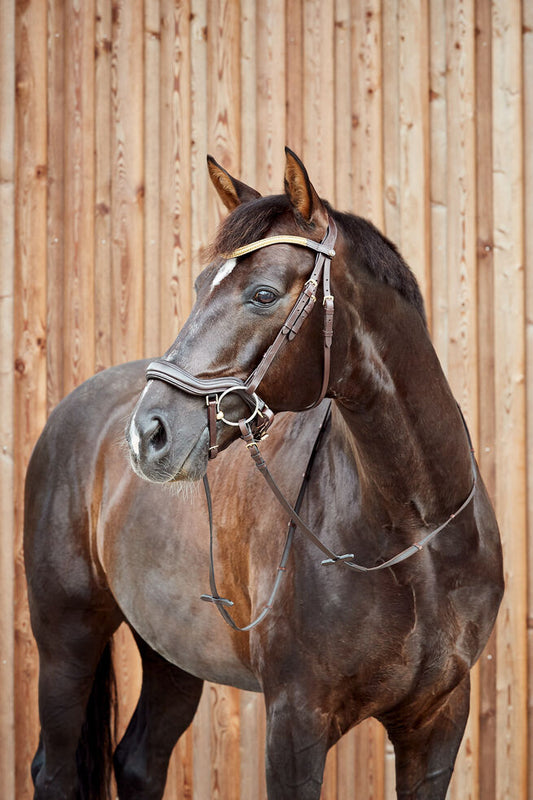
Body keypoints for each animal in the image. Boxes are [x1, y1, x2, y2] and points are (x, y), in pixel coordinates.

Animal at [25, 147, 502, 796]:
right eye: (199, 285)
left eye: (263, 293)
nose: (149, 434)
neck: (417, 533)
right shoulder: (296, 721)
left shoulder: (438, 722)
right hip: (66, 639)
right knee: (53, 769)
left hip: (172, 652)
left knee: (140, 759)